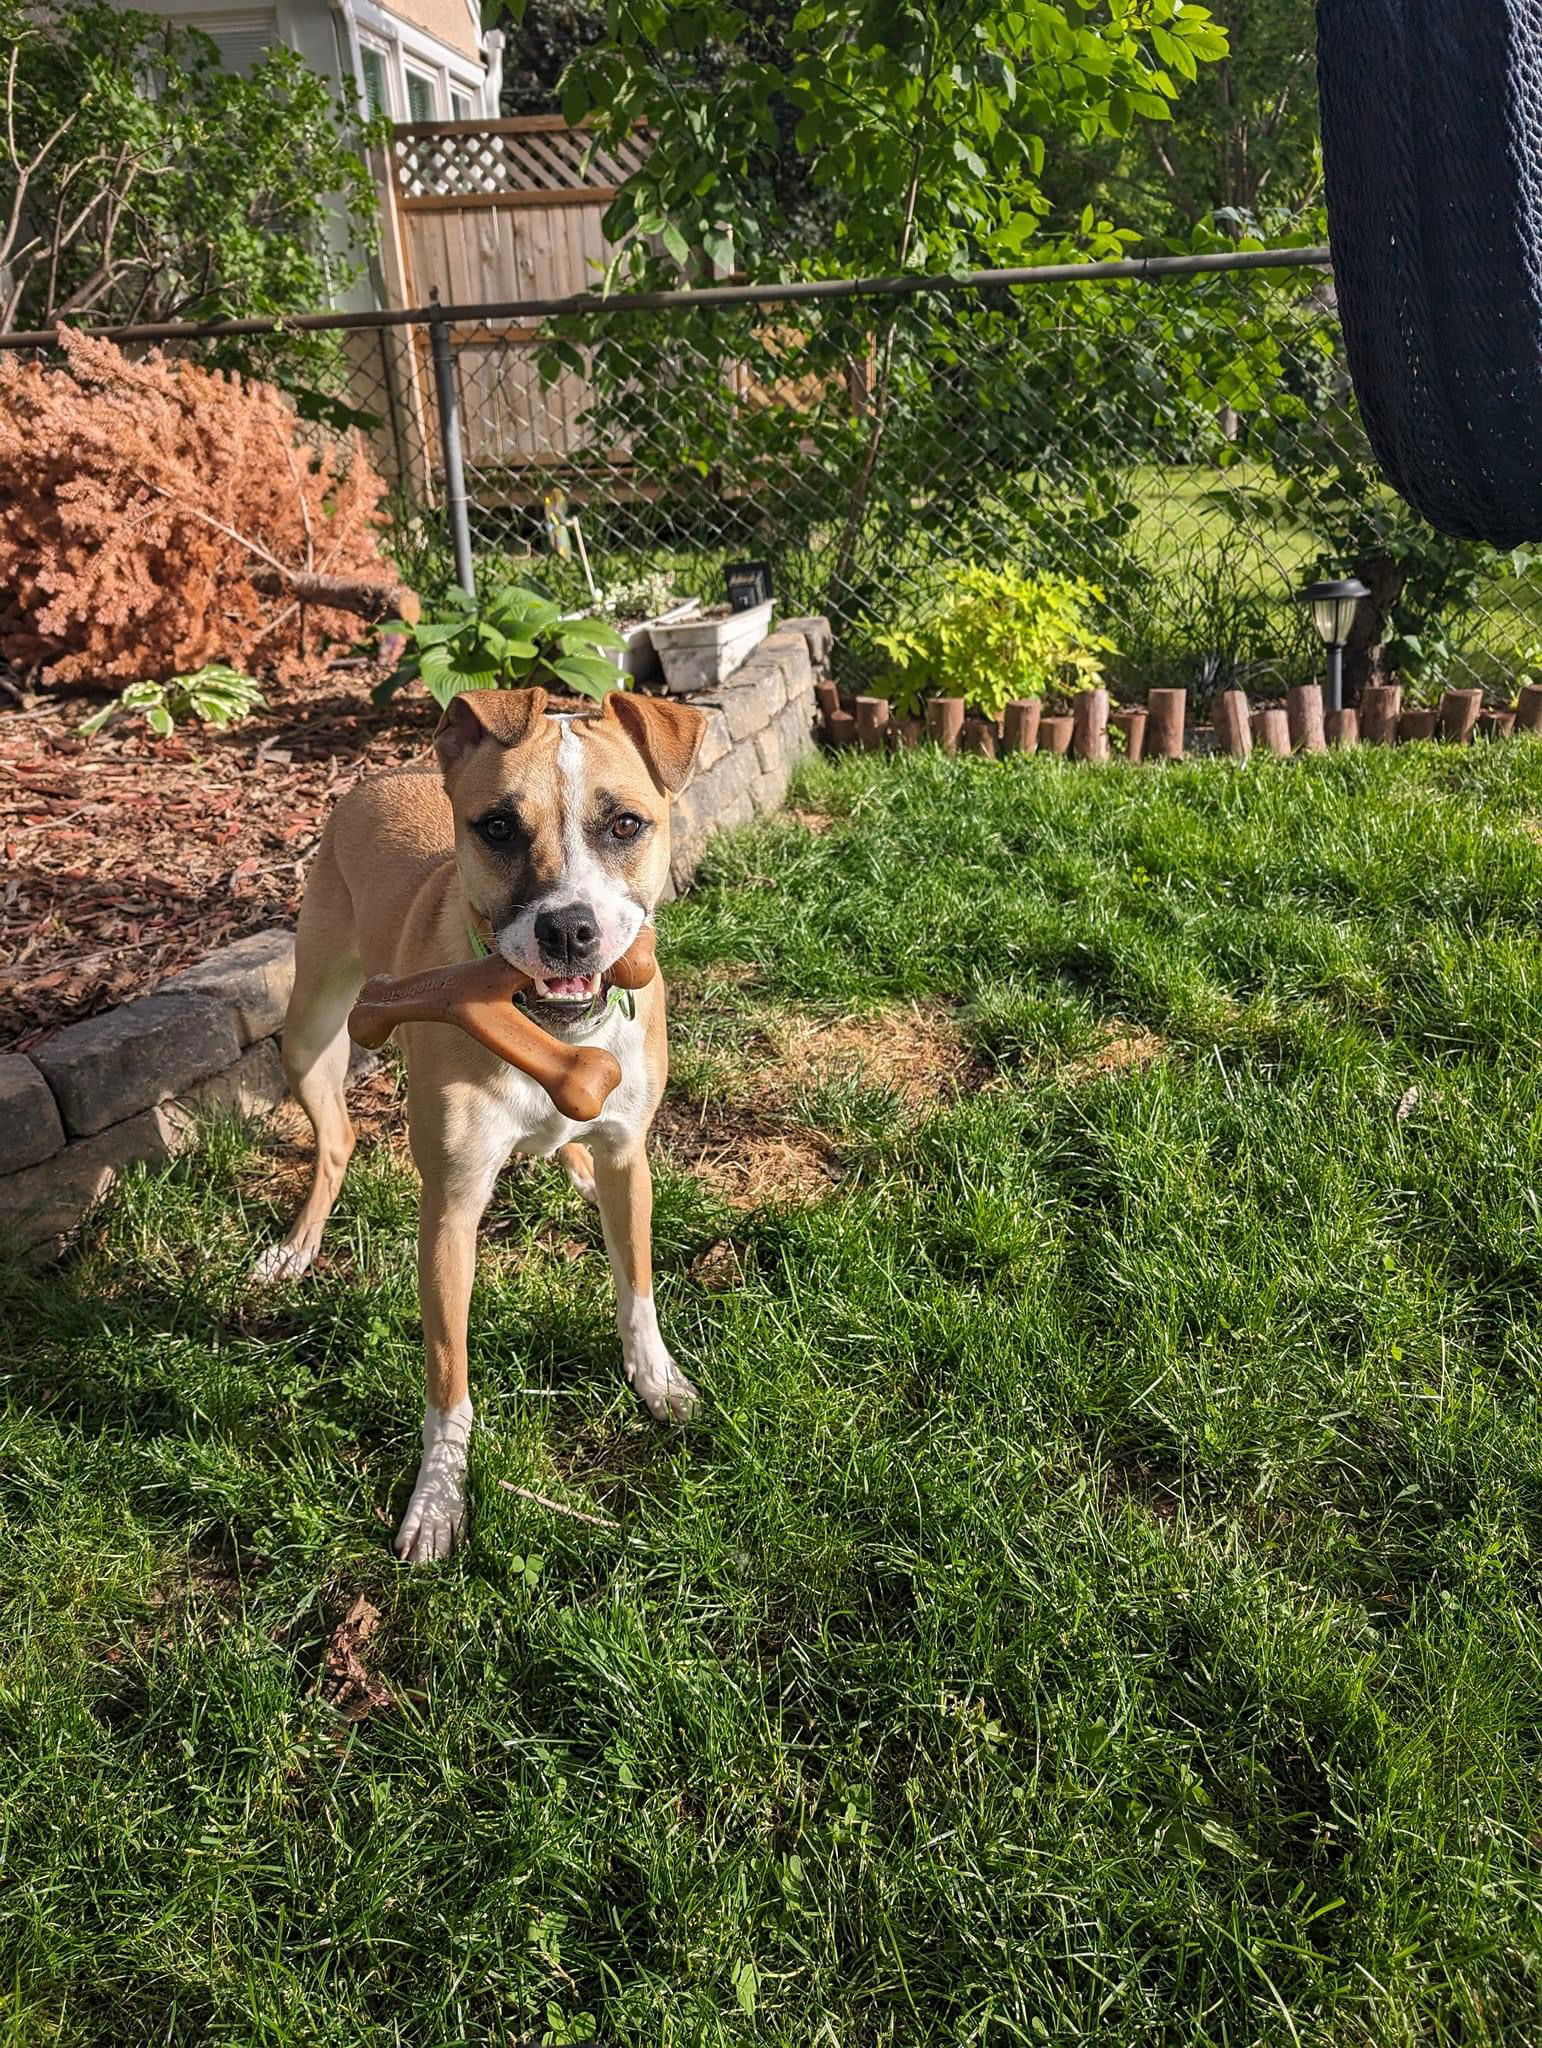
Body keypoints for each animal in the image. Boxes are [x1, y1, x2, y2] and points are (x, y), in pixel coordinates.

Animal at [253, 688, 708, 1564]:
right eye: (497, 826)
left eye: (625, 825)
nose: (568, 931)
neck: (547, 1036)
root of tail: (382, 774)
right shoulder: (450, 1211)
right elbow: (447, 1377)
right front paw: (438, 1499)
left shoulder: (628, 1155)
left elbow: (636, 1287)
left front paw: (658, 1380)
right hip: (310, 1029)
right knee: (337, 1141)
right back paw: (297, 1247)